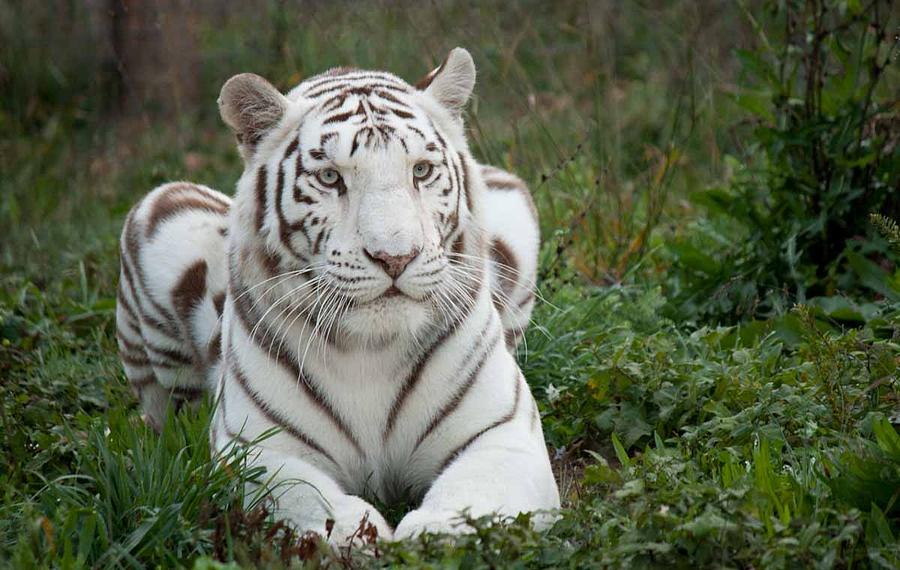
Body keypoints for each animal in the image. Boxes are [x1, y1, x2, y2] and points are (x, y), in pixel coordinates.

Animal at [116, 48, 560, 540]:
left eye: (421, 171)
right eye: (330, 178)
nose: (395, 258)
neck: (373, 349)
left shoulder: (502, 433)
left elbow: (474, 498)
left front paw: (431, 534)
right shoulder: (257, 448)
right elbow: (303, 499)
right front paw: (358, 538)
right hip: (160, 211)